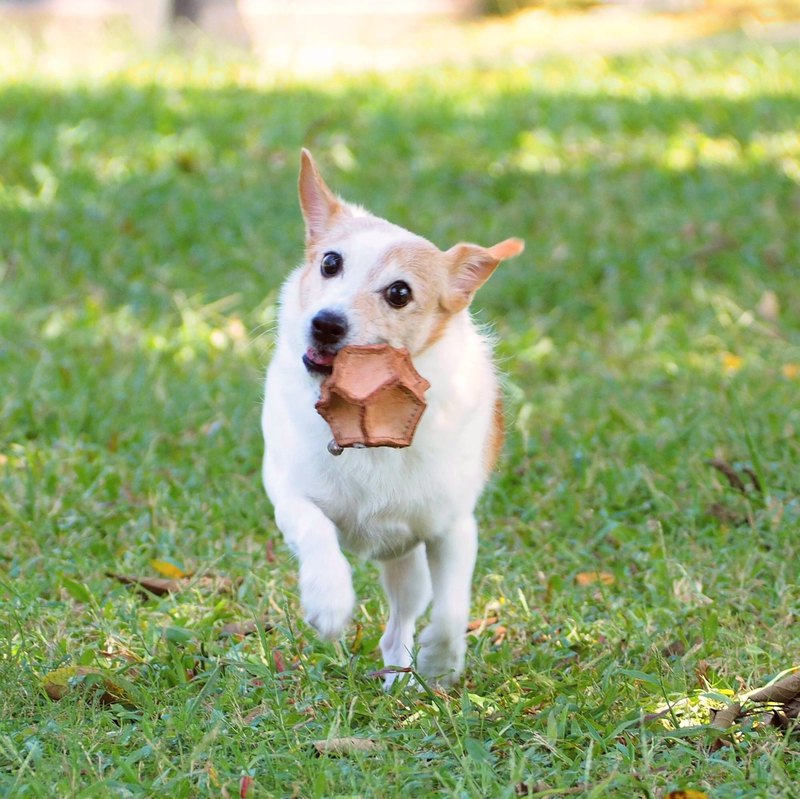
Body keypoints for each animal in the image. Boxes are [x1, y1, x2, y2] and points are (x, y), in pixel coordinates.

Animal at [262, 152, 524, 688]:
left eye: (399, 293)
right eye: (330, 263)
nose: (325, 322)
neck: (369, 422)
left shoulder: (453, 530)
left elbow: (452, 608)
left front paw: (442, 660)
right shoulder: (286, 492)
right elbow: (315, 530)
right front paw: (329, 599)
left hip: (408, 563)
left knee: (404, 618)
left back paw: (401, 673)